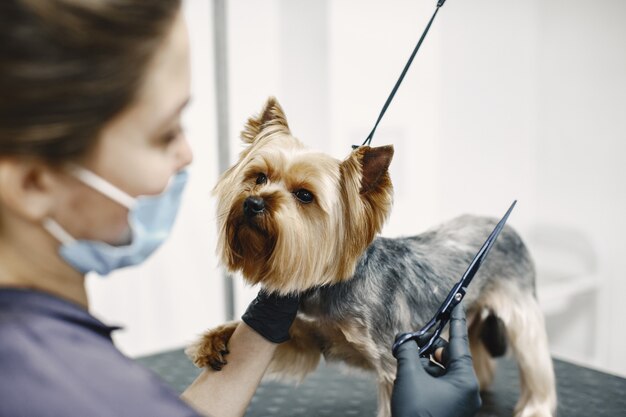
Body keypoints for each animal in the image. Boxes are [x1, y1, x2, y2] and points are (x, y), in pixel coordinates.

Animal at [186, 96, 556, 416]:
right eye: (259, 177)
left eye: (304, 195)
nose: (253, 203)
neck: (330, 285)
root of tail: (502, 226)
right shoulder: (303, 337)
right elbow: (257, 336)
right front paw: (214, 339)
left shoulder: (392, 364)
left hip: (520, 309)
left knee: (536, 361)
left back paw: (535, 408)